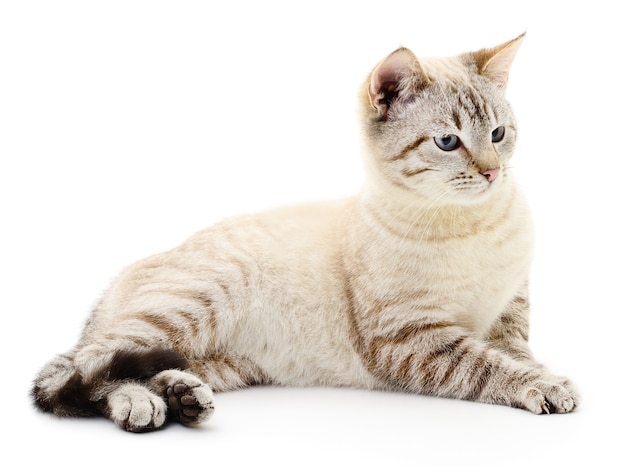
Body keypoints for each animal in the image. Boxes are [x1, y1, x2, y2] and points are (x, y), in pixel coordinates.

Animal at [30, 34, 576, 432]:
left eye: (499, 135)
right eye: (448, 142)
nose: (491, 173)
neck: (472, 224)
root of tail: (115, 284)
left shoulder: (508, 312)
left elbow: (516, 353)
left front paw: (543, 374)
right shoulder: (410, 338)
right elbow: (487, 365)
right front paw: (547, 386)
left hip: (223, 361)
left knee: (132, 365)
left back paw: (182, 398)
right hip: (191, 304)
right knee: (89, 365)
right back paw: (140, 405)